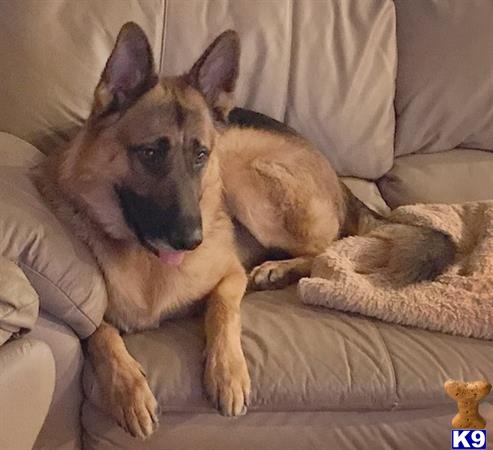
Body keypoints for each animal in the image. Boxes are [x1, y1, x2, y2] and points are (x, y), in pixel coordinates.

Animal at [32, 22, 452, 438]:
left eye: (200, 155)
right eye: (150, 153)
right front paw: (129, 392)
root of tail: (333, 171)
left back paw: (277, 269)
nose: (192, 240)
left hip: (238, 169)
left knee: (331, 246)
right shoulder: (92, 317)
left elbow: (222, 309)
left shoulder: (231, 274)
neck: (146, 263)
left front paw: (227, 374)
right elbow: (102, 334)